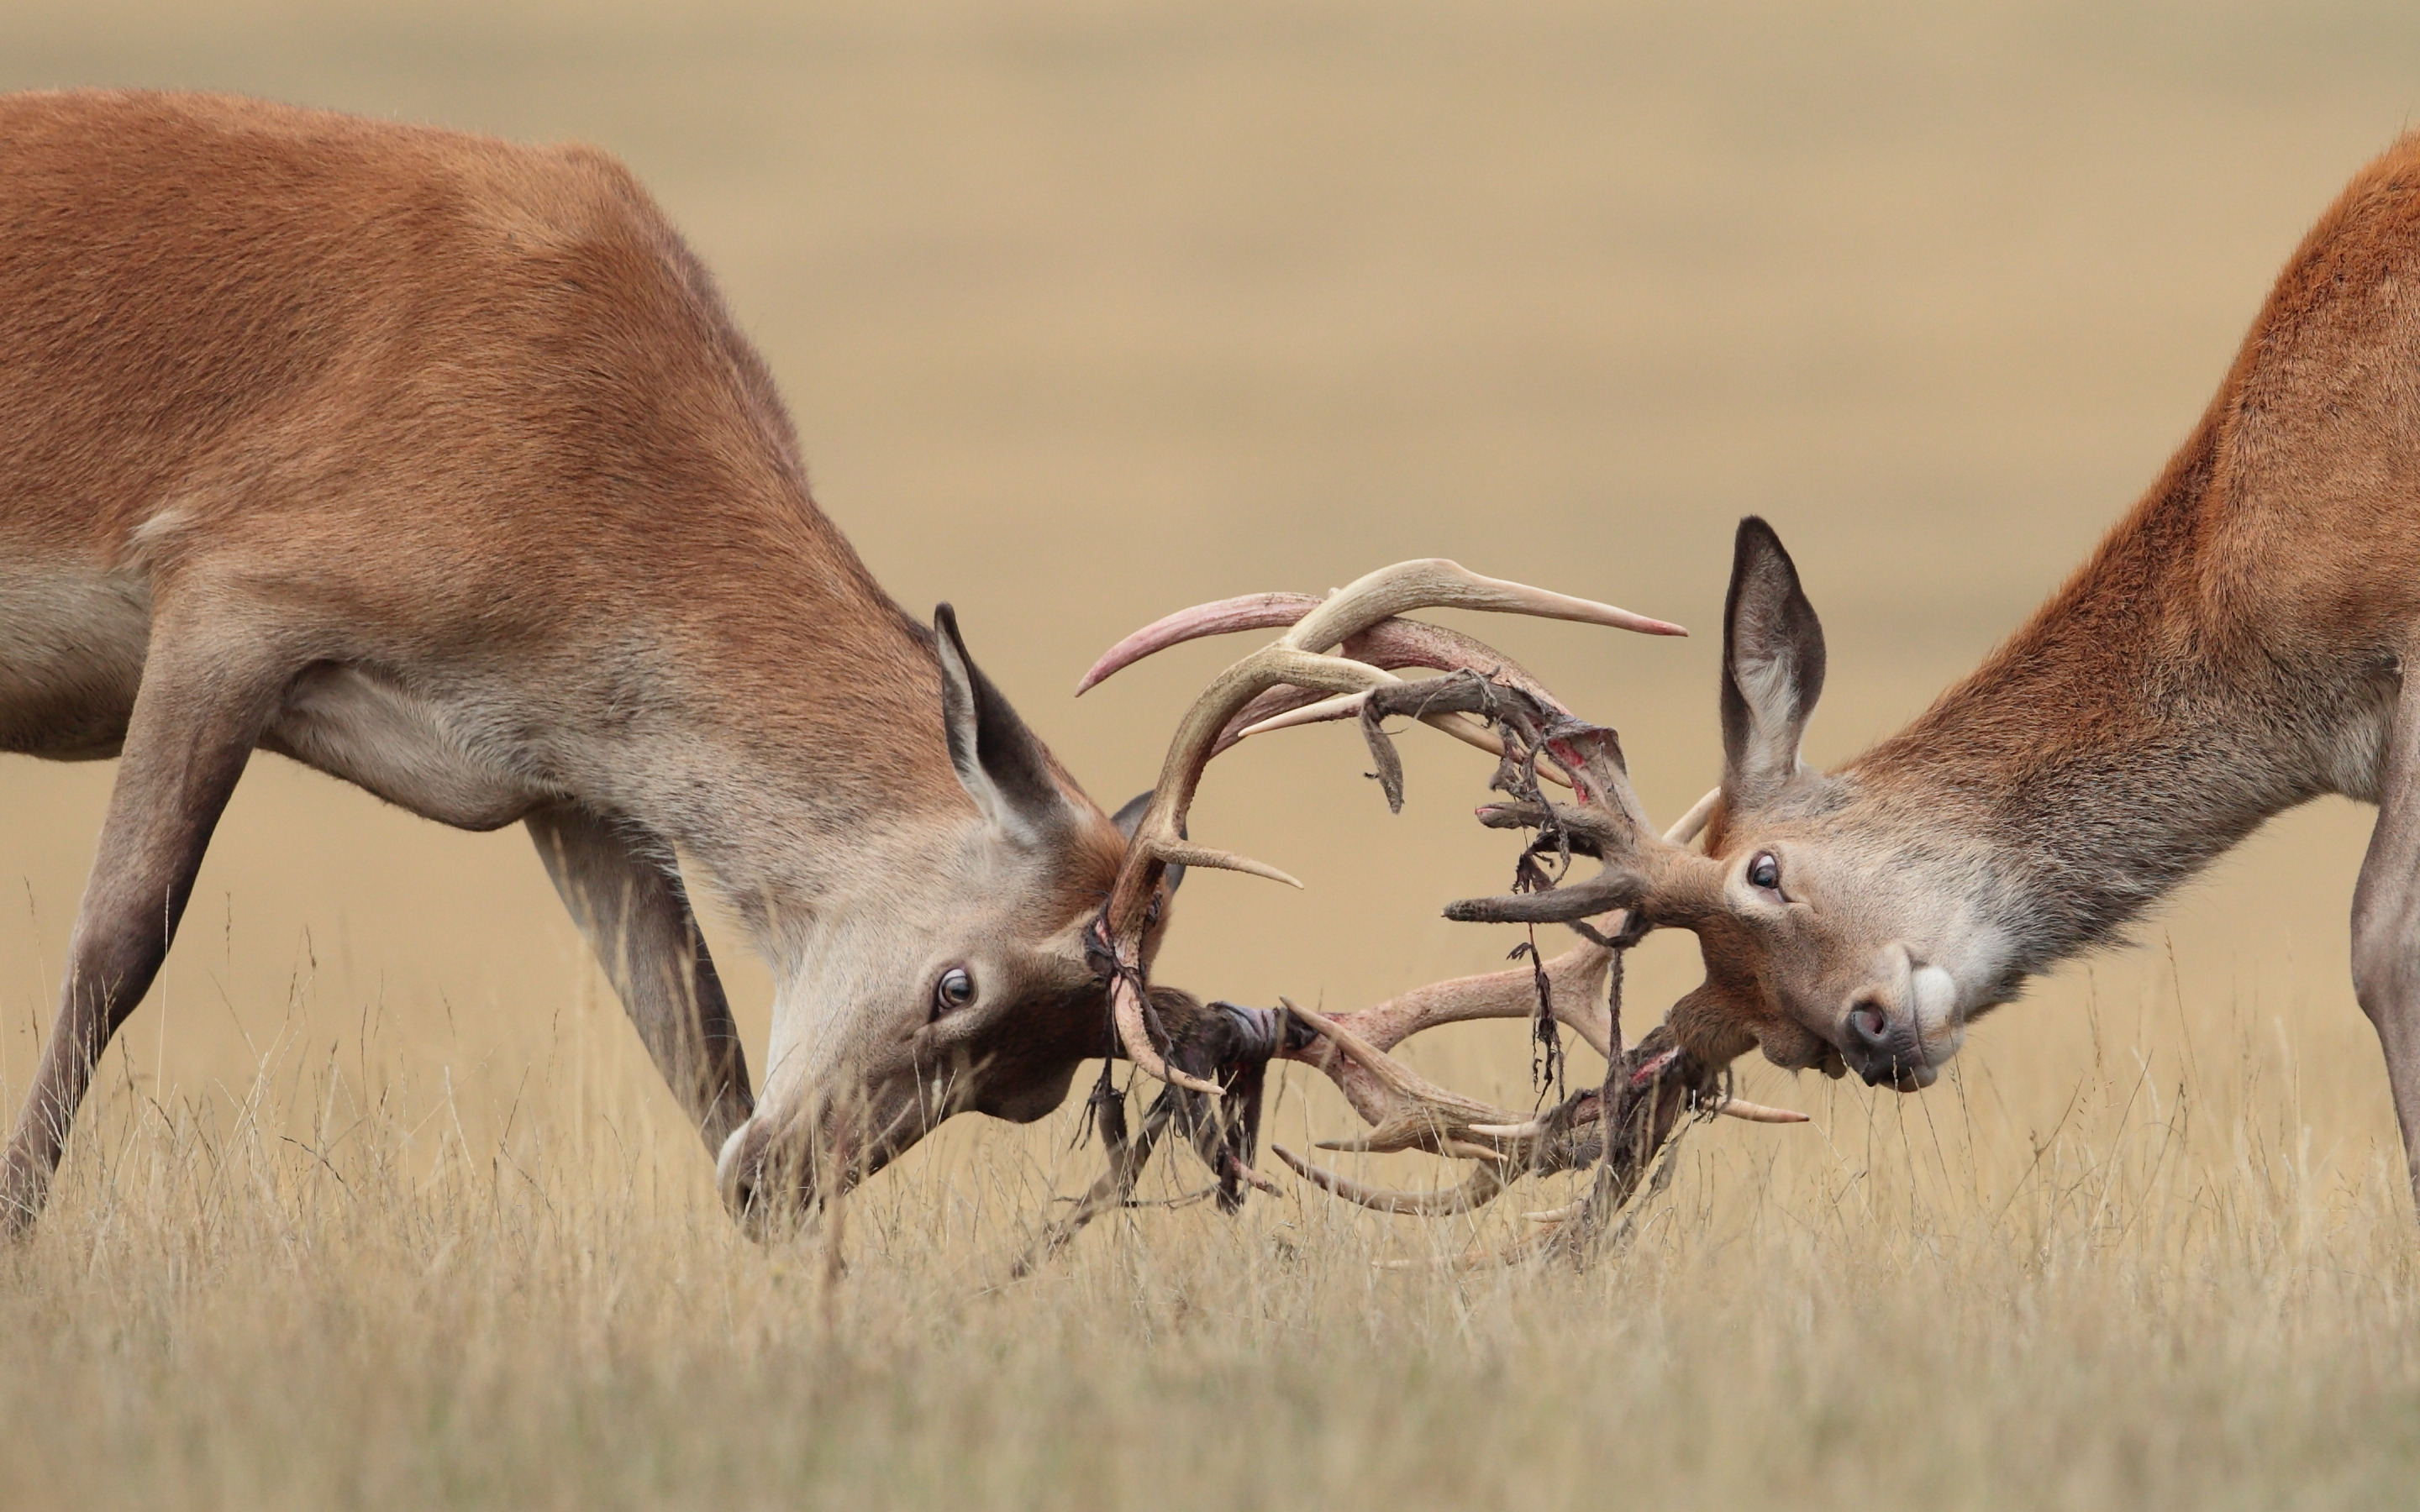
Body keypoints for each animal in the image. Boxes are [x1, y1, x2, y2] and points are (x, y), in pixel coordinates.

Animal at [0, 85, 1703, 1238]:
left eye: (1032, 1084)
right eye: (960, 982)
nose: (779, 1188)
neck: (580, 471)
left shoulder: (564, 789)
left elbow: (687, 1032)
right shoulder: (227, 594)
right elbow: (116, 946)